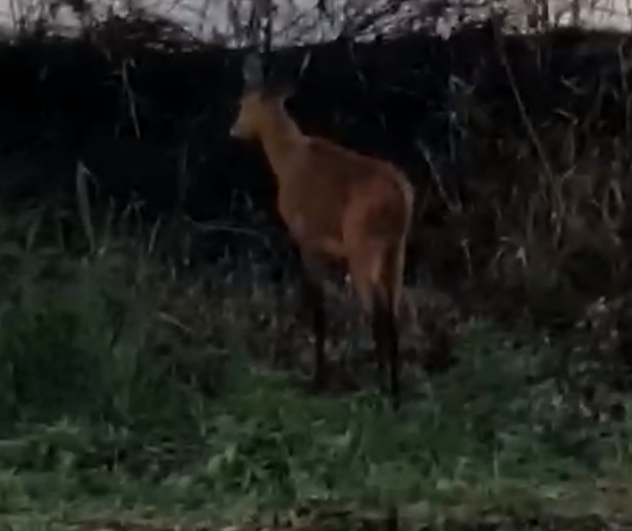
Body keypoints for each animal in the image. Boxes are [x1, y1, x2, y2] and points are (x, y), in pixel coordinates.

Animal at [227, 53, 414, 412]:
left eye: (243, 102)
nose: (234, 130)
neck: (287, 158)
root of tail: (399, 194)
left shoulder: (307, 238)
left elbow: (318, 308)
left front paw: (317, 380)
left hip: (363, 246)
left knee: (376, 312)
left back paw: (381, 390)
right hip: (397, 249)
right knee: (395, 311)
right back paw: (396, 394)